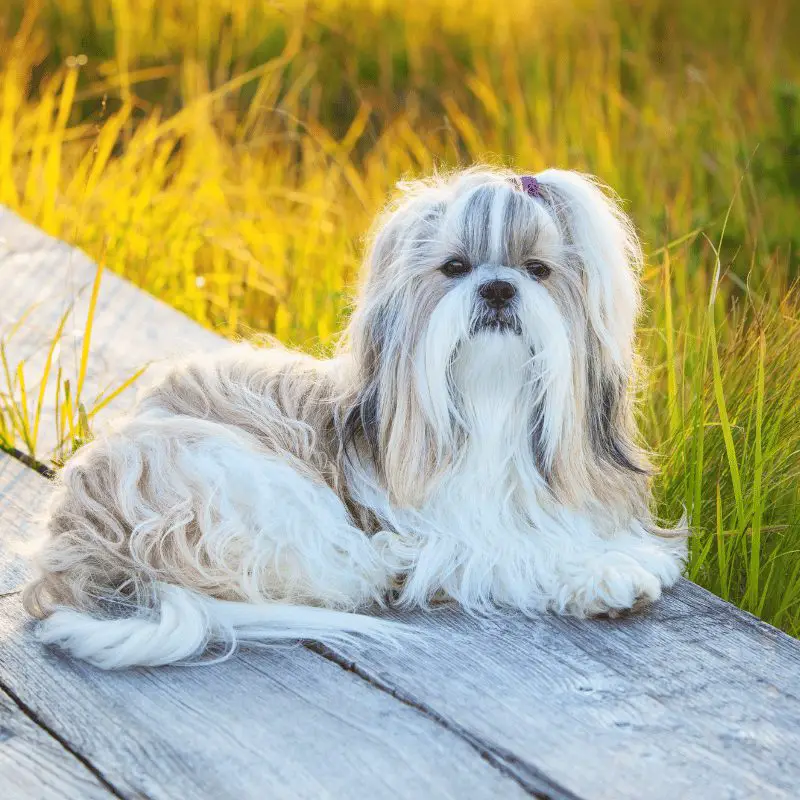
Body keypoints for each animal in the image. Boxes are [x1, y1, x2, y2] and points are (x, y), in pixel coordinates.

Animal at [26, 167, 688, 668]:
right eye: (454, 267)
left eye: (537, 271)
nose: (498, 289)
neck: (490, 409)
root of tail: (74, 534)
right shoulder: (444, 536)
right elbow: (509, 552)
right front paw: (604, 575)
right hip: (222, 470)